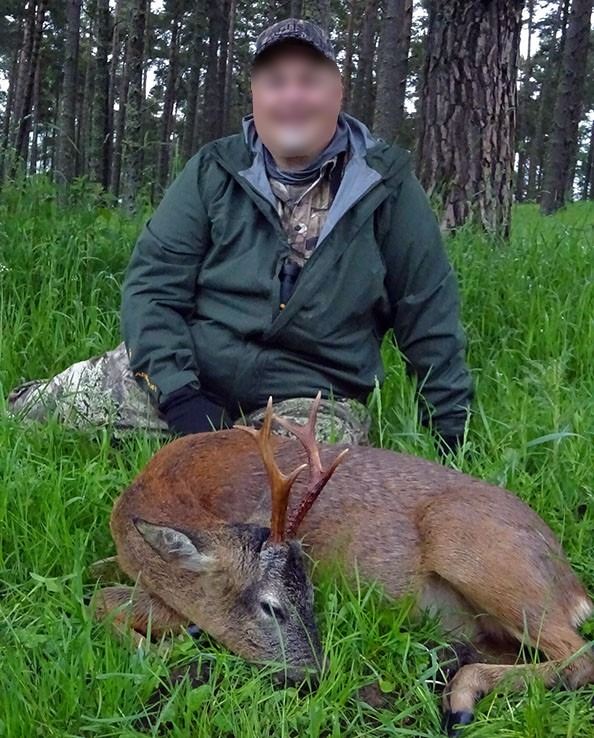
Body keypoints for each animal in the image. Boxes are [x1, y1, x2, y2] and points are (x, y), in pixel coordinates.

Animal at [91, 393, 594, 736]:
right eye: (273, 607)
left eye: (312, 595)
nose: (317, 674)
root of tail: (575, 591)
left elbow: (108, 602)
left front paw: (168, 648)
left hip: (472, 549)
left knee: (578, 656)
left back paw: (461, 698)